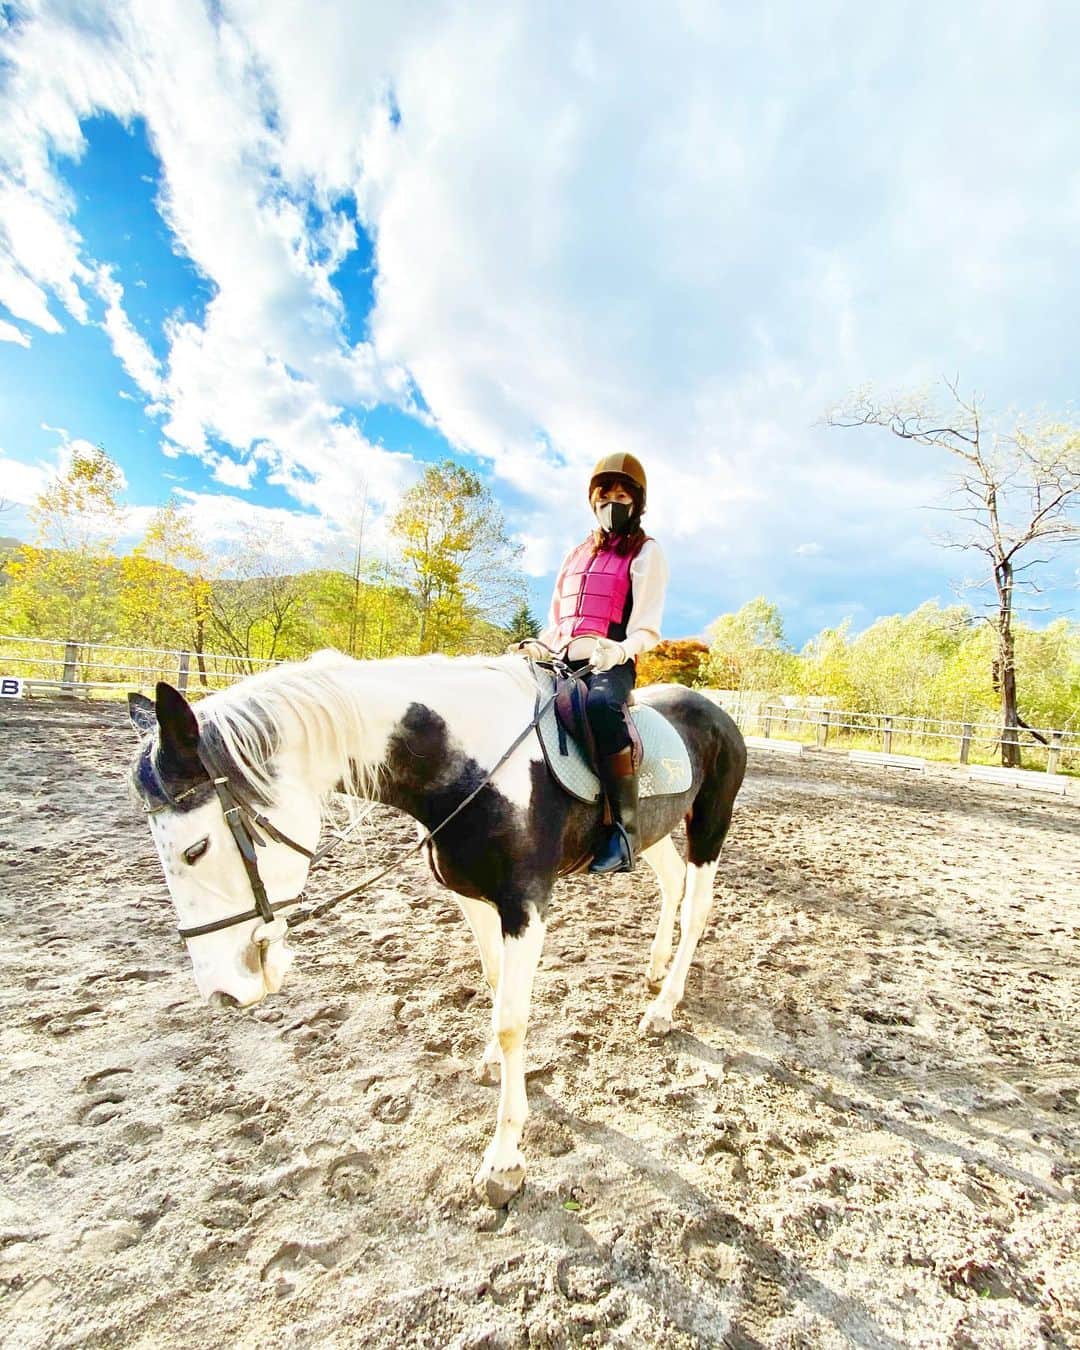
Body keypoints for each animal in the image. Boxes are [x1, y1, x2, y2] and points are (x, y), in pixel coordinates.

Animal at [128, 650, 746, 1205]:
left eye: (196, 848)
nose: (222, 992)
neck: (472, 768)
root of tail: (713, 709)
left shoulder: (526, 904)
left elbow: (512, 1021)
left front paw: (504, 1160)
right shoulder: (472, 899)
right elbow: (495, 987)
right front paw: (491, 1066)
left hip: (711, 823)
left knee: (696, 908)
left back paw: (663, 1006)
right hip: (654, 830)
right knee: (670, 885)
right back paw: (653, 970)